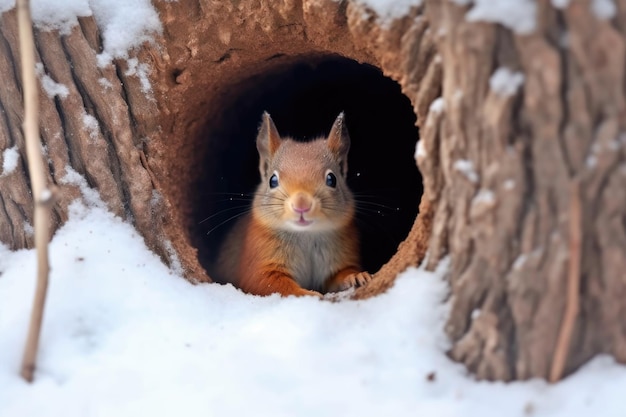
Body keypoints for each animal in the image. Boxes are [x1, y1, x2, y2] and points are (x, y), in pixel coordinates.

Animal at [213, 111, 370, 296]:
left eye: (332, 179)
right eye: (272, 180)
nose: (301, 204)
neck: (306, 235)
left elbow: (339, 275)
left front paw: (355, 276)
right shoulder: (259, 261)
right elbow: (270, 284)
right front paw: (308, 294)